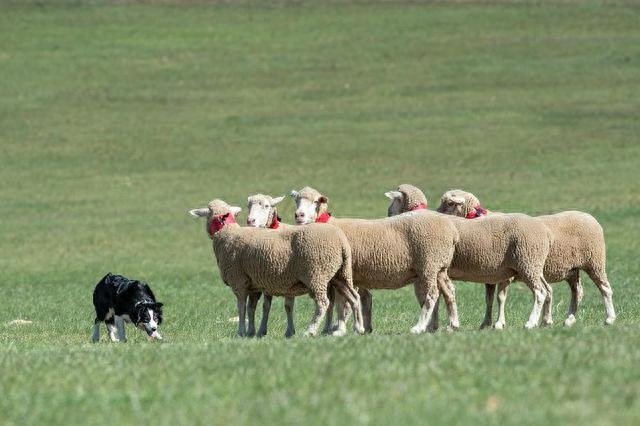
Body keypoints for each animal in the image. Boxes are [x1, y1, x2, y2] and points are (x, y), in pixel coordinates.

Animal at [188, 199, 364, 336]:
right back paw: (359, 328)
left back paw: (311, 330)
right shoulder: (254, 284)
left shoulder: (238, 280)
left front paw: (241, 332)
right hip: (341, 274)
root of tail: (341, 240)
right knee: (354, 297)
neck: (227, 232)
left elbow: (241, 307)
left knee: (323, 303)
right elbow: (251, 308)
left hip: (317, 273)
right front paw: (251, 332)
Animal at [288, 186, 460, 332]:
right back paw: (453, 324)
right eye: (296, 200)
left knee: (432, 295)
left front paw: (339, 329)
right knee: (449, 291)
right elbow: (336, 303)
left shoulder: (345, 274)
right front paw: (330, 329)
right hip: (439, 267)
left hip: (429, 263)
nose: (299, 215)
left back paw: (419, 327)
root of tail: (452, 230)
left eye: (315, 201)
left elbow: (341, 303)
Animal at [382, 183, 556, 330]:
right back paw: (546, 321)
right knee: (547, 289)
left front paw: (433, 325)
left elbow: (432, 297)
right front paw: (437, 325)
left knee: (540, 292)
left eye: (449, 203)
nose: (388, 213)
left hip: (527, 261)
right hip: (533, 266)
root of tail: (545, 231)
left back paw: (531, 322)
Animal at [436, 188, 616, 328]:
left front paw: (499, 323)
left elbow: (501, 298)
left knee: (604, 288)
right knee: (577, 292)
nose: (436, 214)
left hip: (593, 262)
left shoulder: (504, 275)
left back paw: (609, 318)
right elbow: (489, 299)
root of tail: (590, 217)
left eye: (450, 203)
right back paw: (568, 320)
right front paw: (486, 323)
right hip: (571, 270)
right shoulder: (490, 274)